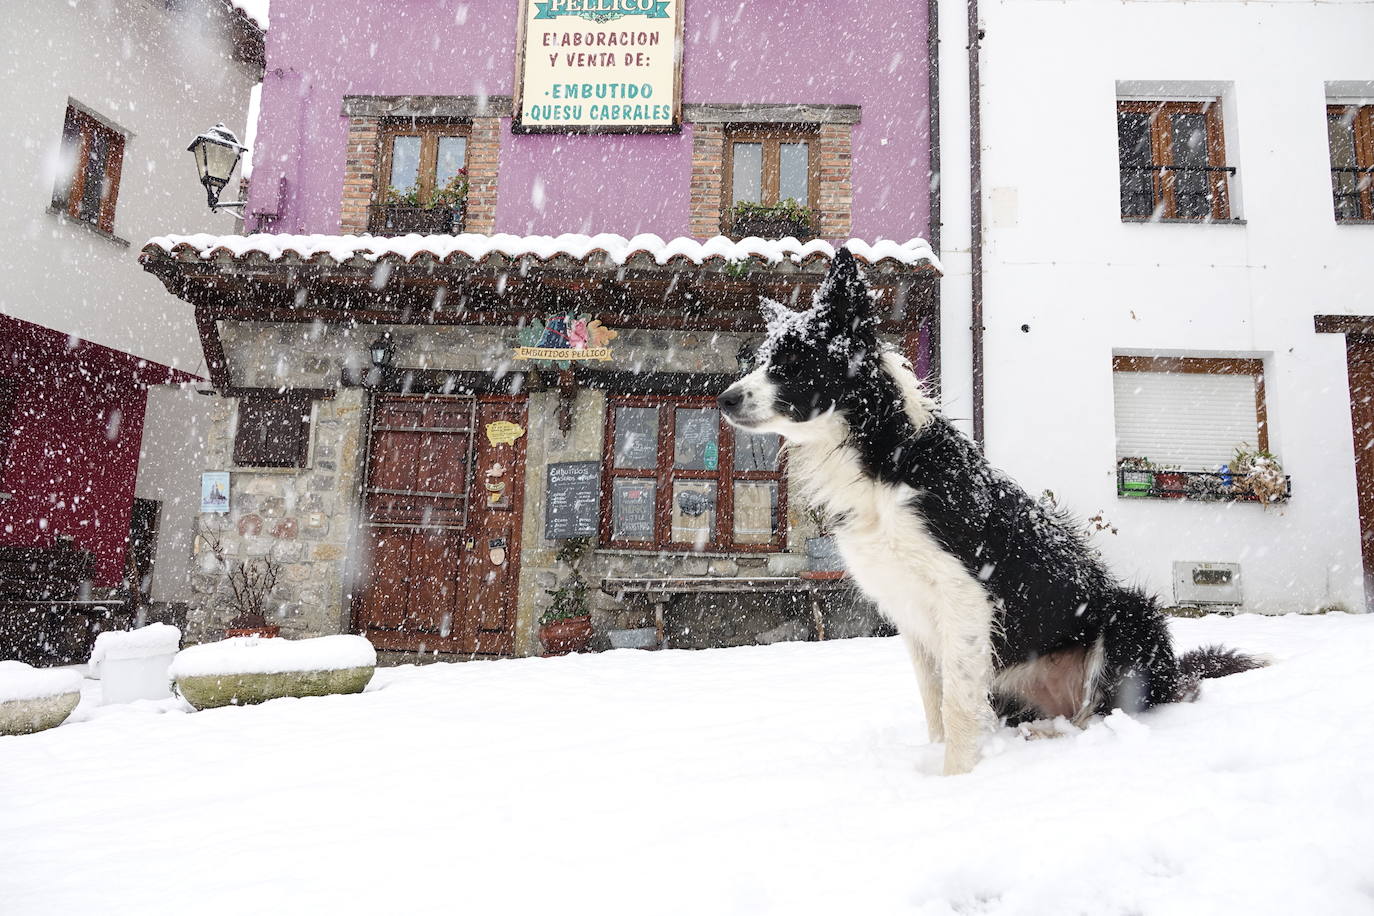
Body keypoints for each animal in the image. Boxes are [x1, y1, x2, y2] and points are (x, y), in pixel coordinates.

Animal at [714, 248, 1258, 774]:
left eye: (792, 361)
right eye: (761, 359)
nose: (724, 399)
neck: (883, 454)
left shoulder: (964, 595)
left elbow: (955, 704)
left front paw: (956, 780)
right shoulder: (911, 611)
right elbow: (935, 701)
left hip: (1129, 616)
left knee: (1102, 713)